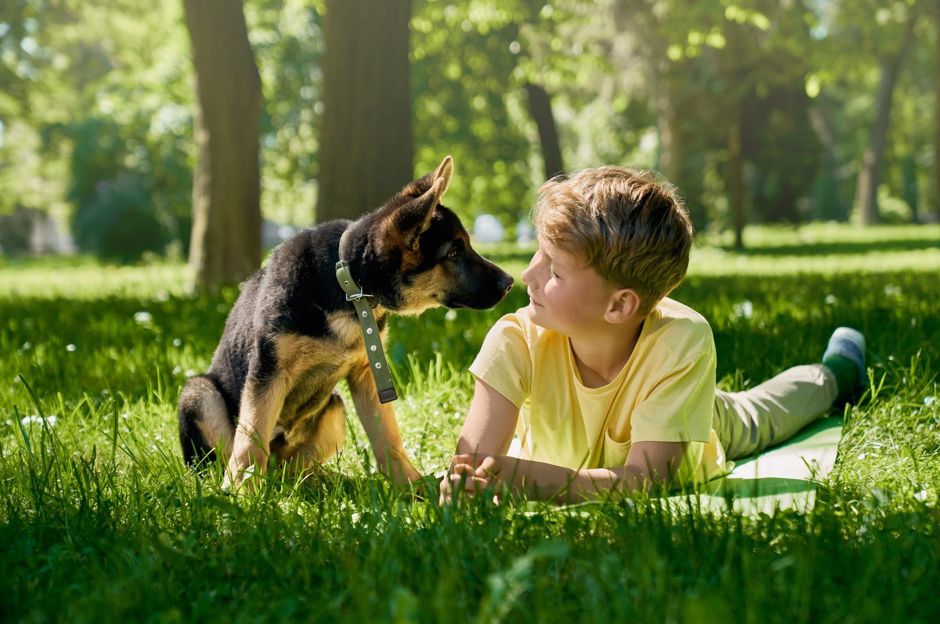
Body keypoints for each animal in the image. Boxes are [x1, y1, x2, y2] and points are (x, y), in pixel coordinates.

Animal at [176, 156, 516, 488]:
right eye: (455, 252)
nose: (510, 282)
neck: (348, 286)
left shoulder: (368, 373)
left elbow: (388, 436)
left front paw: (412, 487)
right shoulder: (268, 371)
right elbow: (250, 439)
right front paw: (241, 493)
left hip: (335, 409)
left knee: (289, 468)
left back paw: (318, 480)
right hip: (199, 394)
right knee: (226, 458)